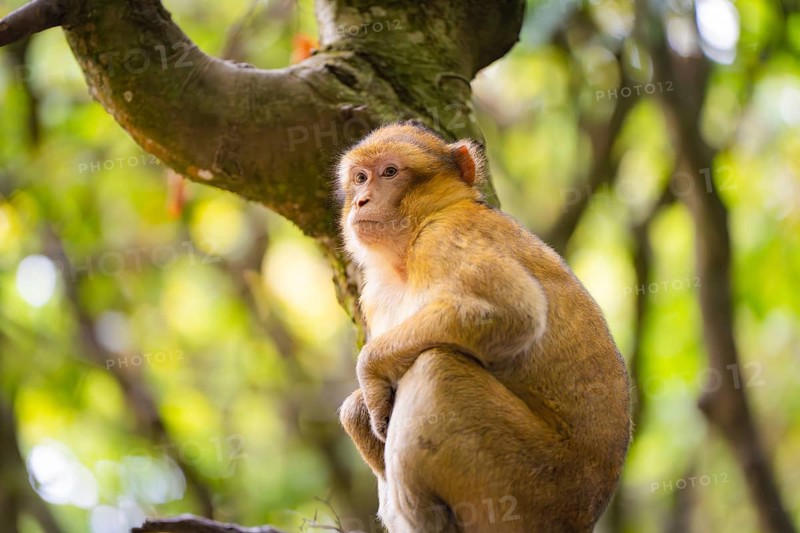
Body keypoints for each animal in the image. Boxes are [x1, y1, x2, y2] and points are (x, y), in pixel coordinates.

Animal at [336, 122, 631, 533]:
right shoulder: (377, 294)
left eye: (389, 172)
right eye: (360, 178)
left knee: (436, 368)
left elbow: (514, 312)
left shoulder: (445, 237)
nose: (361, 201)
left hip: (529, 488)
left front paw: (369, 370)